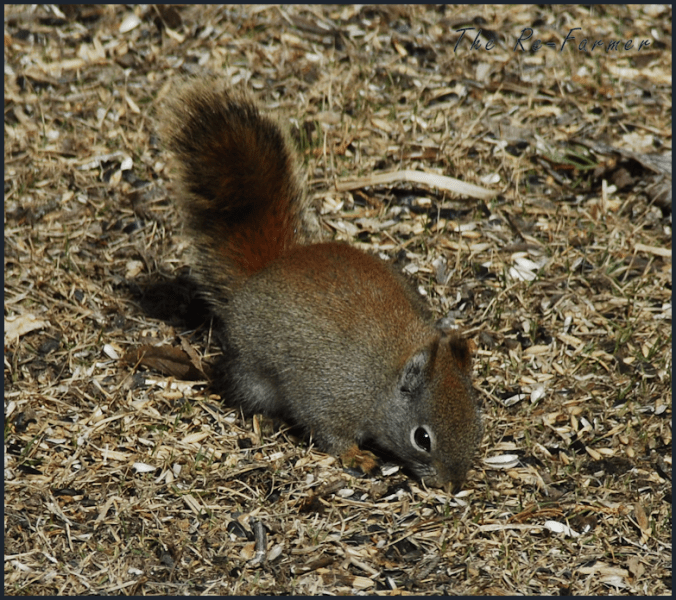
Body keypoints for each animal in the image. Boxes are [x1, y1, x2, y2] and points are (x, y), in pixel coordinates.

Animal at [160, 77, 482, 491]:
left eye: (476, 423)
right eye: (422, 438)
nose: (453, 484)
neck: (383, 380)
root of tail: (270, 267)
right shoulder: (329, 397)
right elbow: (329, 432)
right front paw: (356, 456)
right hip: (252, 369)